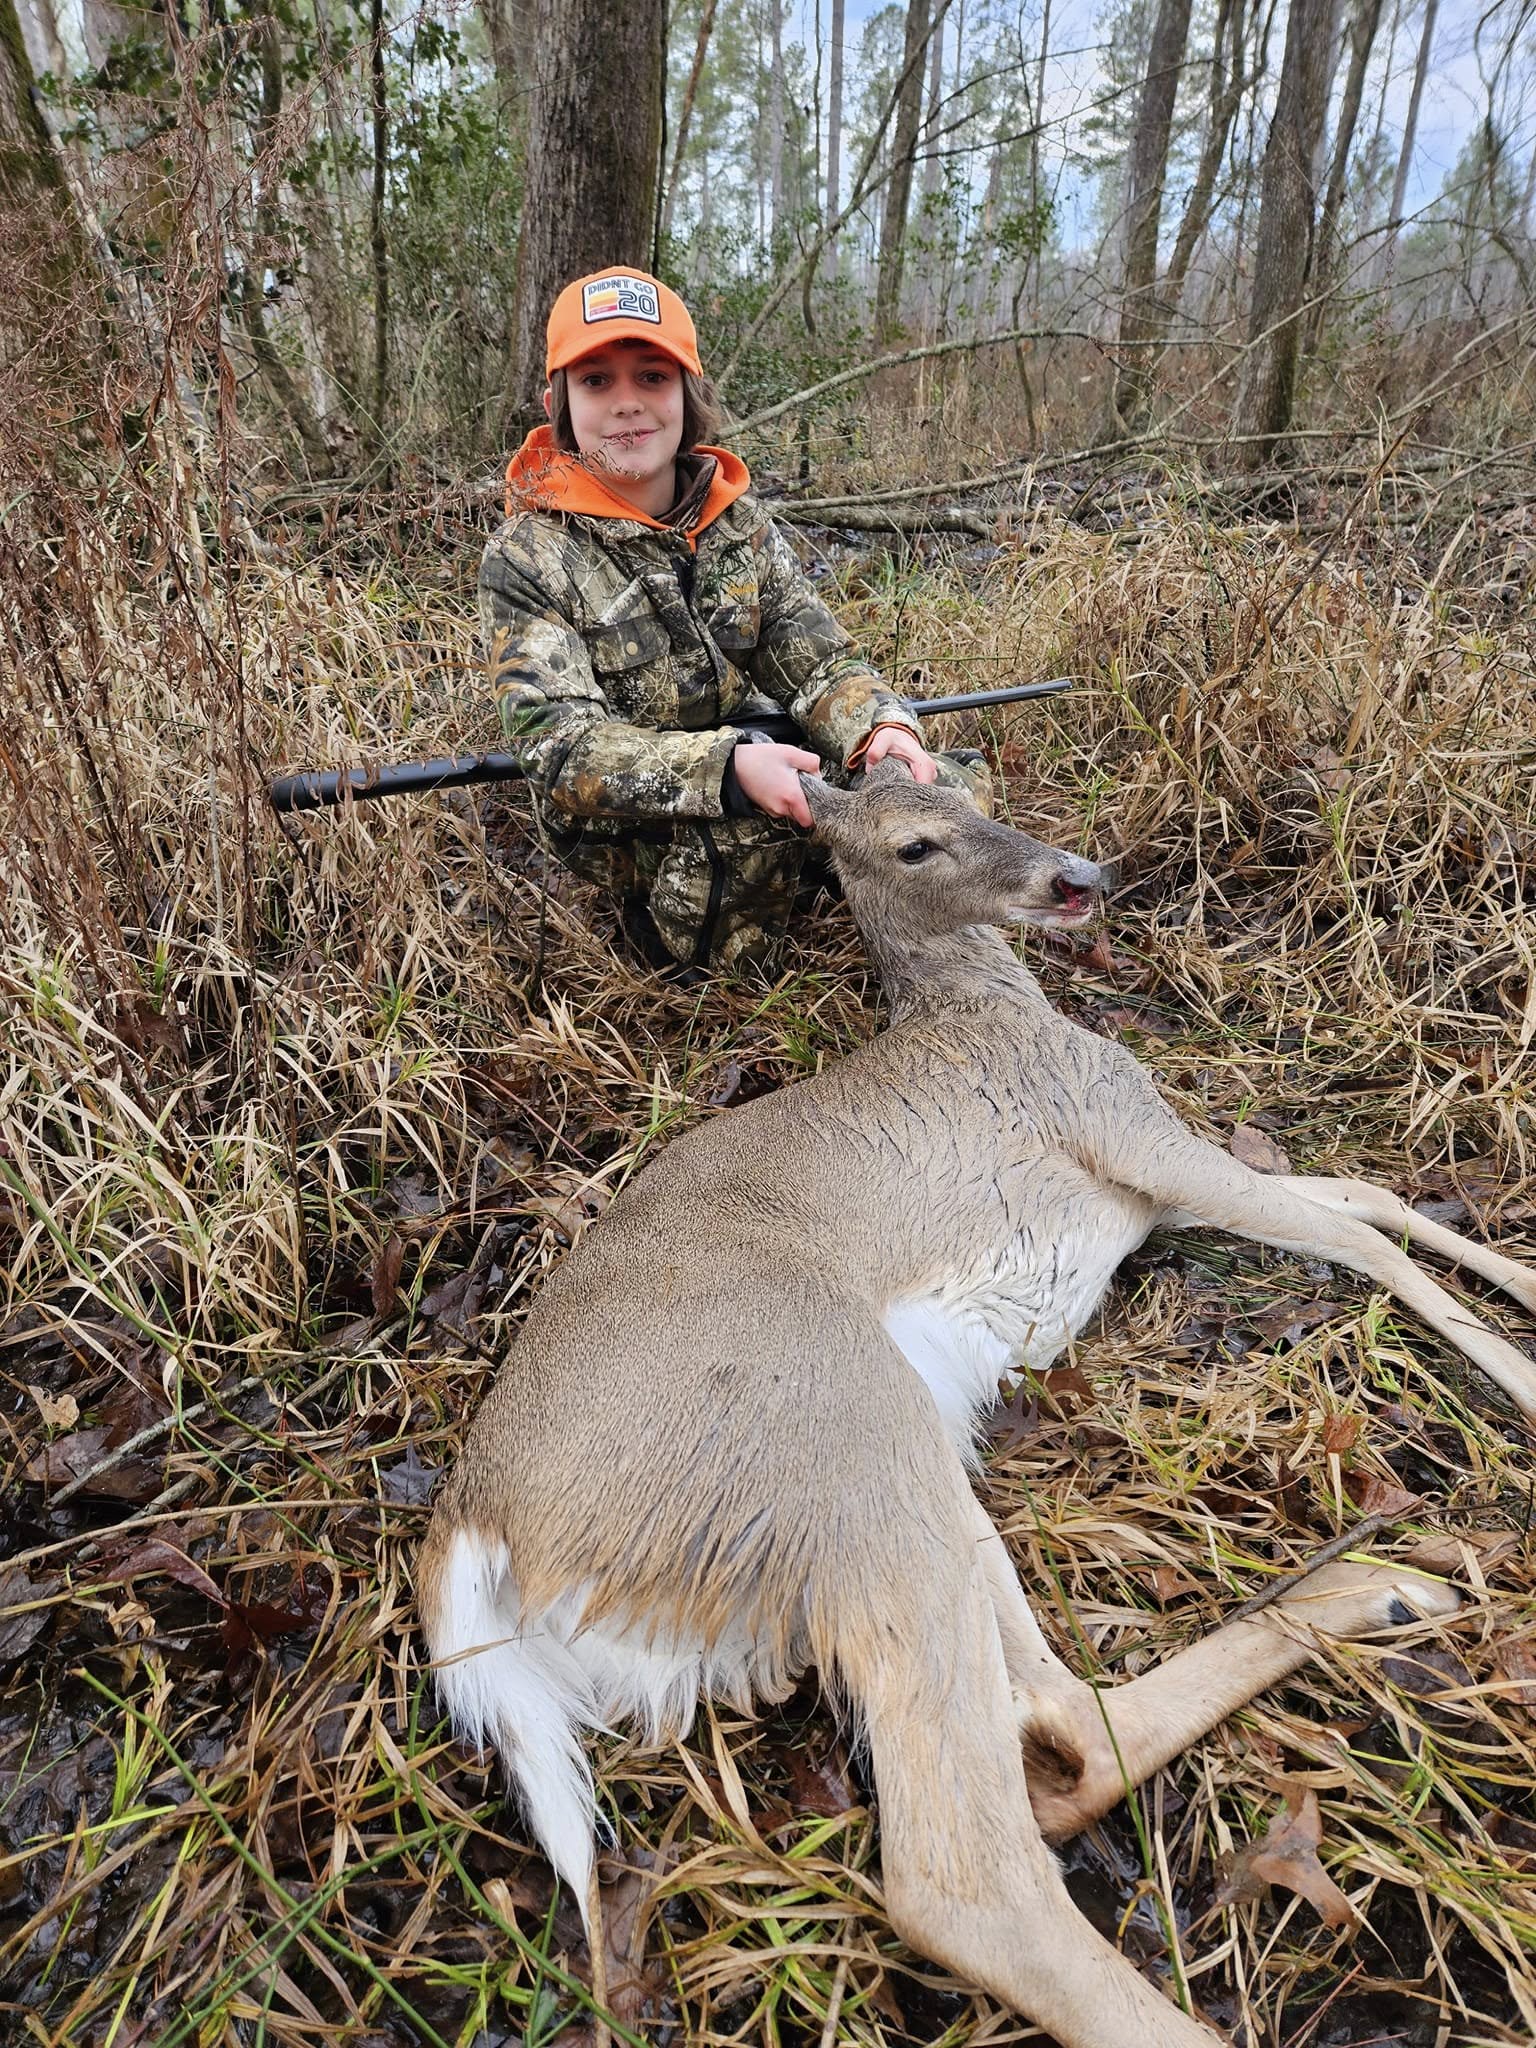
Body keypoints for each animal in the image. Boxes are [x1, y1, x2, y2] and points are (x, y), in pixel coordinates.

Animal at [419, 762, 1535, 2048]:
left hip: (909, 1481)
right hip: (847, 1440)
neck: (985, 1006)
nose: (1078, 877)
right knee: (967, 1868)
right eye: (914, 842)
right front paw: (1527, 1375)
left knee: (1055, 1727)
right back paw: (1390, 1587)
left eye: (961, 780)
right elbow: (1365, 1236)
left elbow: (1368, 1192)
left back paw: (1393, 1588)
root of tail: (475, 1523)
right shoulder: (1132, 1131)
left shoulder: (1150, 1187)